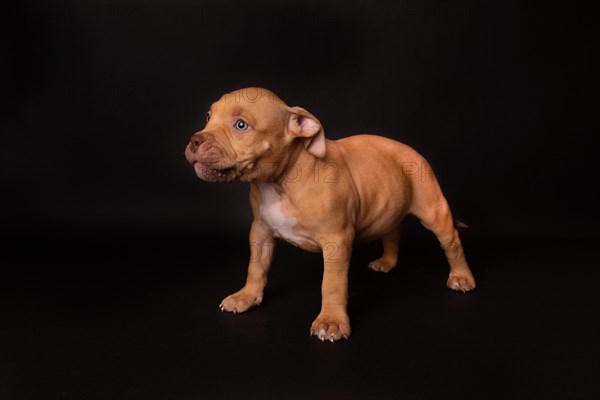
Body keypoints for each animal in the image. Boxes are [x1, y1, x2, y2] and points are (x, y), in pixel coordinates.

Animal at [185, 86, 476, 340]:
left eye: (241, 125)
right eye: (208, 117)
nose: (195, 140)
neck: (280, 181)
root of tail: (411, 150)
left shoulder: (337, 241)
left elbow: (332, 284)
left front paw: (331, 322)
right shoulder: (261, 231)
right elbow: (256, 267)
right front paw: (246, 297)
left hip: (433, 209)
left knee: (451, 242)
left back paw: (461, 277)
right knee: (393, 231)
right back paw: (388, 262)